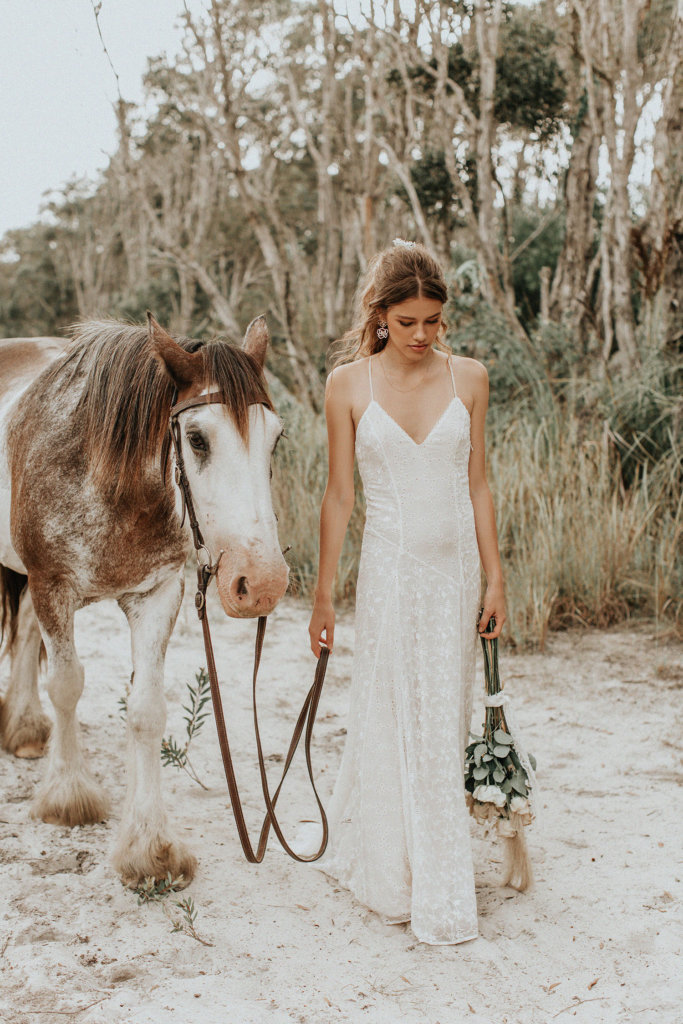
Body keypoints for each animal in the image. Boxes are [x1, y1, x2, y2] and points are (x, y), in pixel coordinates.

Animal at [0, 315, 288, 884]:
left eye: (275, 438)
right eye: (197, 439)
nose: (262, 582)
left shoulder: (157, 594)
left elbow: (147, 710)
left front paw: (150, 846)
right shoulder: (52, 585)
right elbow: (66, 685)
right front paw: (67, 796)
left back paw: (23, 729)